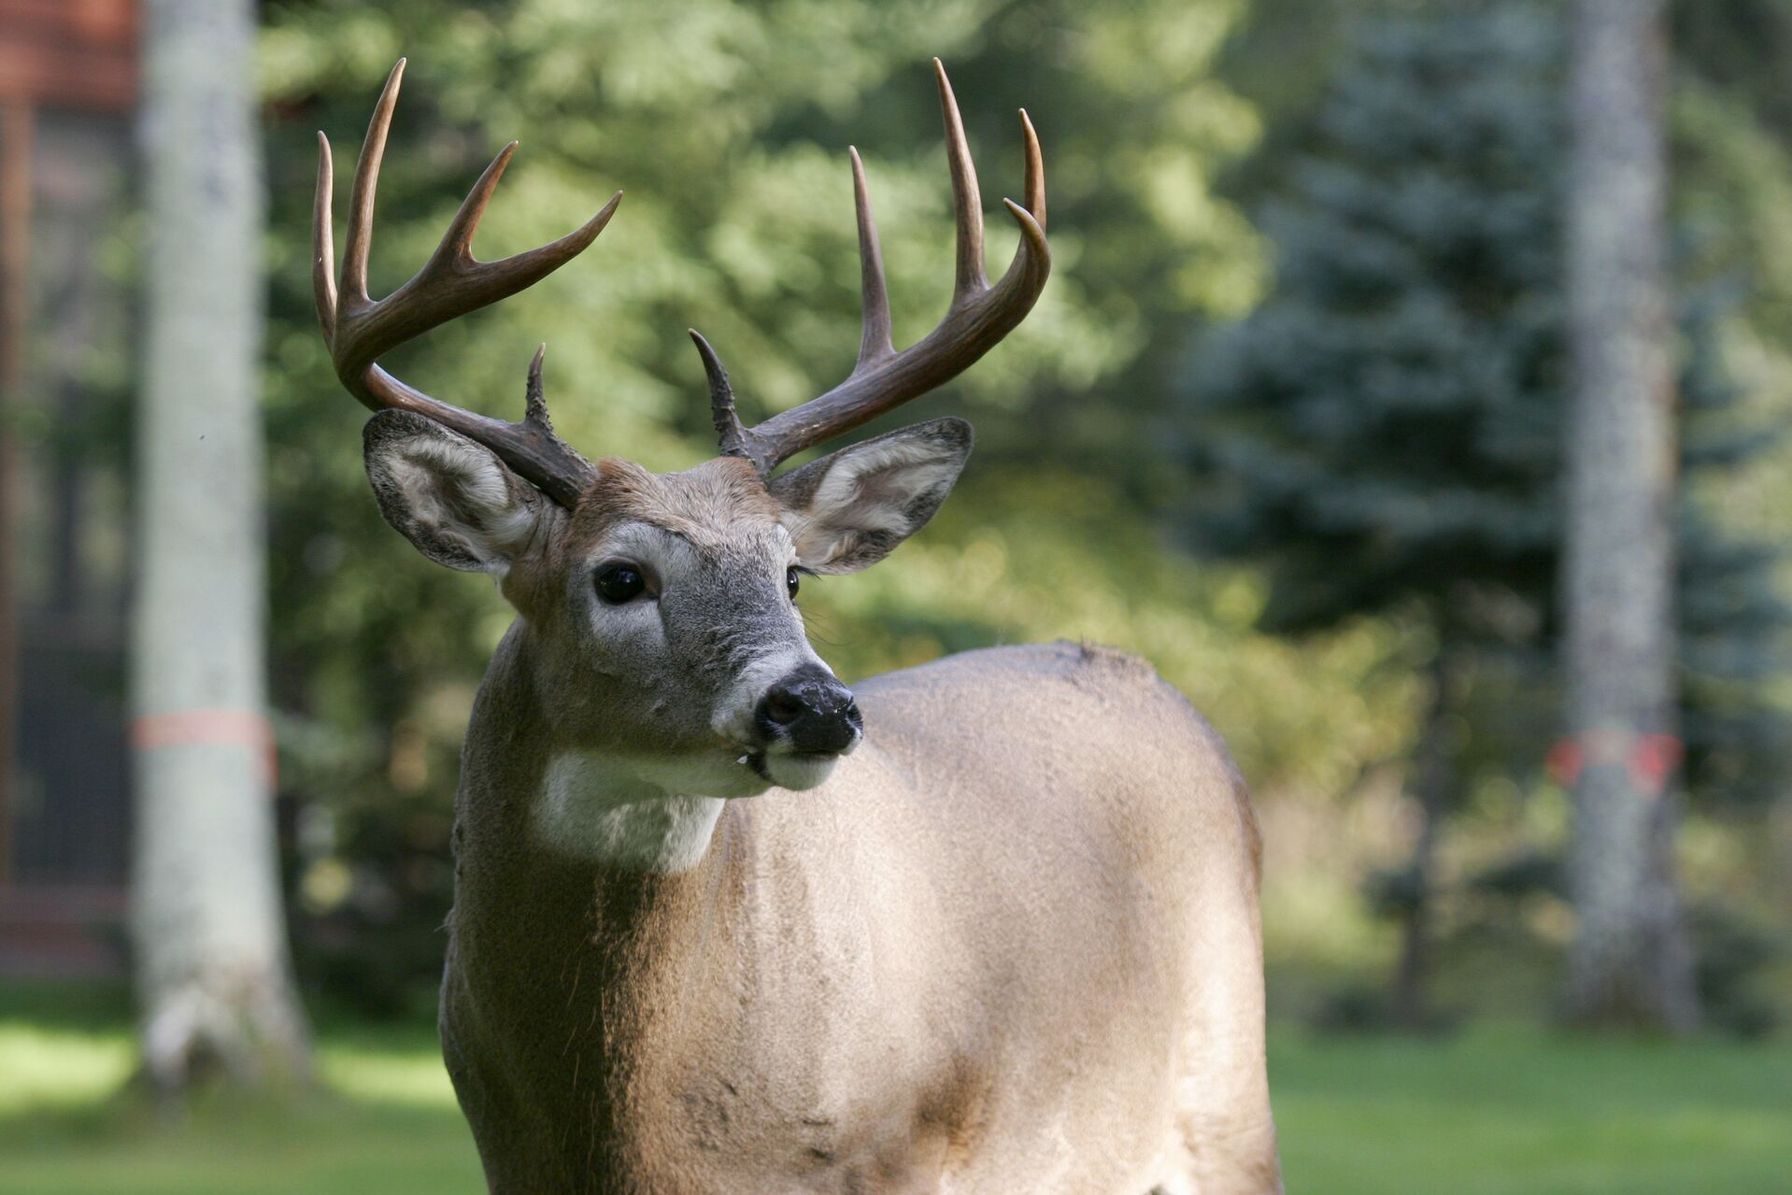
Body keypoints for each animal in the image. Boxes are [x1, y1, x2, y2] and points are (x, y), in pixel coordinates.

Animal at [312, 58, 1281, 1194]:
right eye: (620, 576)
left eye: (795, 574)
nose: (813, 704)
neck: (627, 1134)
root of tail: (1158, 688)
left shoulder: (903, 1153)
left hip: (1227, 1103)